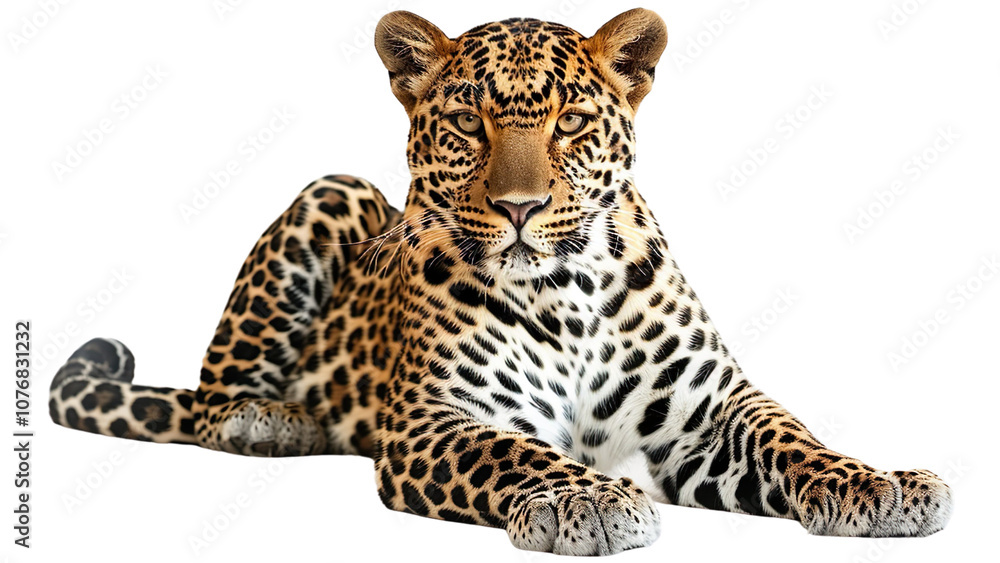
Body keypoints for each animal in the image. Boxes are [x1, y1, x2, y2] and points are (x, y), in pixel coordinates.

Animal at [49, 8, 952, 555]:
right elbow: (515, 449)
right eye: (465, 122)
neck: (569, 289)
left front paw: (879, 484)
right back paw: (269, 419)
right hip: (331, 193)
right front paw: (586, 499)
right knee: (209, 396)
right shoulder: (435, 418)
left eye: (571, 122)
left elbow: (791, 435)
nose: (521, 207)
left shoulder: (703, 416)